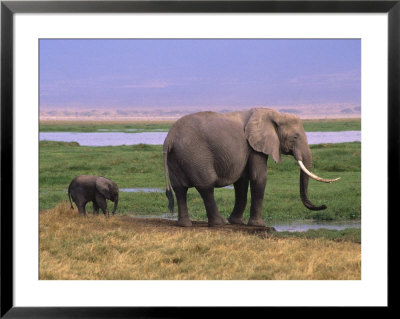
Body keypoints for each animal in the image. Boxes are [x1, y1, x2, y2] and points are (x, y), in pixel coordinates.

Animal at [162, 109, 340, 229]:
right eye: (295, 137)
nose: (324, 206)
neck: (273, 114)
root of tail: (169, 138)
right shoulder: (255, 147)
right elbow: (259, 177)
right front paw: (259, 225)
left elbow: (242, 181)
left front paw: (237, 222)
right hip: (196, 154)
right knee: (206, 186)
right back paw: (220, 223)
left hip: (177, 157)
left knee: (180, 189)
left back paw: (185, 225)